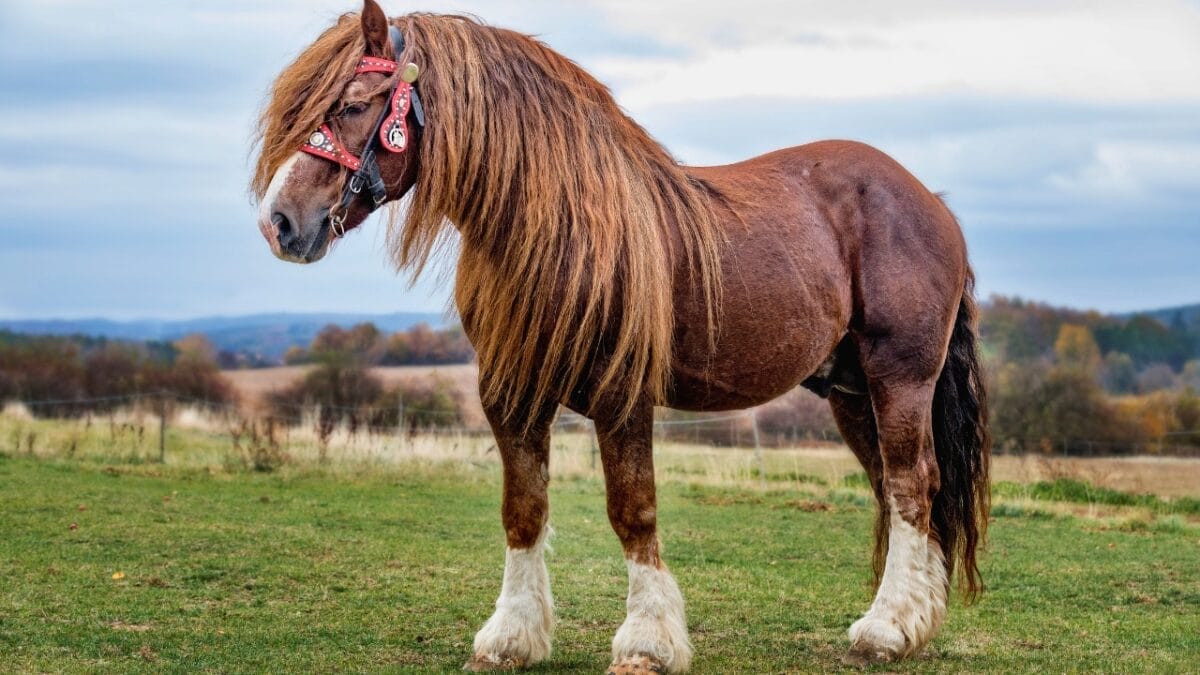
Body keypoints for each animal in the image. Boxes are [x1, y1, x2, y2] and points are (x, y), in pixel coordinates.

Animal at [251, 2, 990, 672]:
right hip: (849, 390)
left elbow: (633, 511)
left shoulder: (623, 396)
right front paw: (510, 637)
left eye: (353, 104)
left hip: (900, 377)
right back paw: (910, 622)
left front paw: (647, 643)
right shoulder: (510, 396)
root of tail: (931, 202)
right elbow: (523, 510)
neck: (555, 227)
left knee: (912, 486)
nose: (279, 222)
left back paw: (887, 631)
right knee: (896, 487)